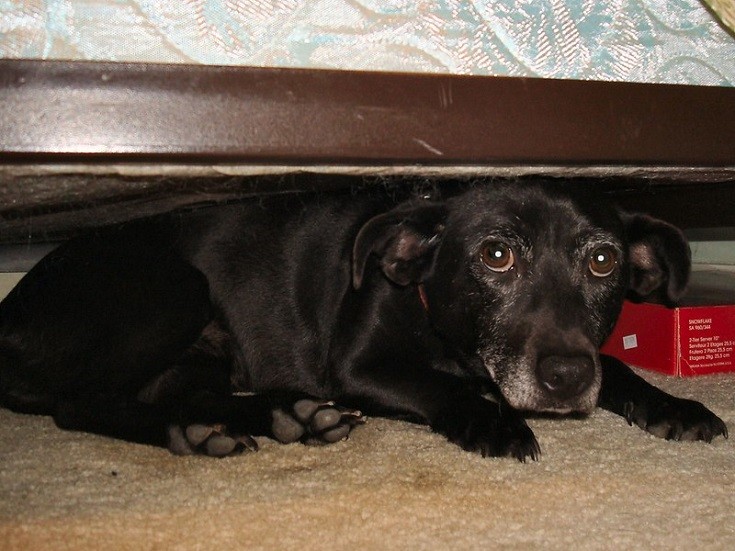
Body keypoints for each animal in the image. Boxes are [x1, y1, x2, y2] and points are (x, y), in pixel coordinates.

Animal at [0, 182, 728, 462]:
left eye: (603, 260)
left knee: (192, 391)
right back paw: (196, 432)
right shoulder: (359, 366)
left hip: (205, 348)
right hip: (176, 290)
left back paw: (286, 417)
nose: (566, 378)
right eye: (495, 254)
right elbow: (445, 387)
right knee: (79, 403)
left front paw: (673, 406)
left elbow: (617, 364)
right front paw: (493, 420)